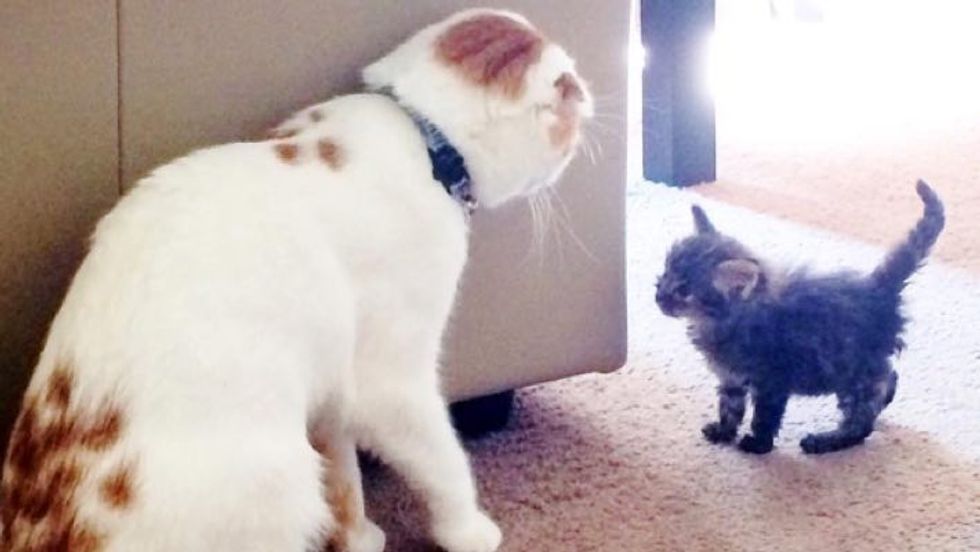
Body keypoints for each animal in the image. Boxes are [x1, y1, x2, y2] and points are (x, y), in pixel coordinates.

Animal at [1, 7, 588, 552]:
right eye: (568, 118)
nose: (587, 115)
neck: (422, 135)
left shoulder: (331, 391)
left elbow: (345, 476)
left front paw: (357, 537)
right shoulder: (391, 383)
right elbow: (444, 459)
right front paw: (467, 529)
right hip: (280, 477)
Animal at [656, 183, 944, 454]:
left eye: (684, 290)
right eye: (666, 271)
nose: (659, 295)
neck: (722, 321)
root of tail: (878, 289)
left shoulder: (772, 380)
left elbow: (764, 417)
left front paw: (757, 445)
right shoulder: (731, 378)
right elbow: (730, 407)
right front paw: (723, 432)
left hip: (852, 375)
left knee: (861, 423)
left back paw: (825, 441)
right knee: (887, 380)